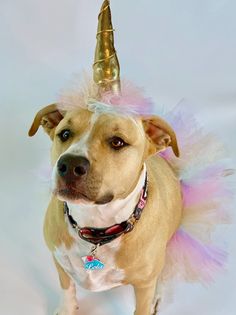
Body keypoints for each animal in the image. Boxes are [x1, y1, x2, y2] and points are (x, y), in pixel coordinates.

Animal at [28, 102, 183, 315]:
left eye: (117, 142)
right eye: (65, 134)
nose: (70, 164)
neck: (96, 227)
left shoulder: (144, 287)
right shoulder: (59, 260)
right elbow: (67, 289)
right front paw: (67, 308)